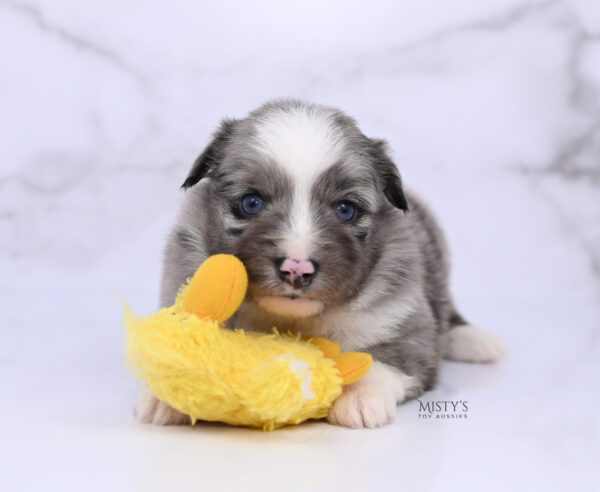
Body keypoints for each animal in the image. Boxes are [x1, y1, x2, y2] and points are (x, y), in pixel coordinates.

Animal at [134, 99, 504, 426]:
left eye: (346, 210)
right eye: (251, 203)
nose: (296, 269)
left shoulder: (405, 323)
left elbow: (381, 359)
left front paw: (360, 397)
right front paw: (169, 395)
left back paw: (474, 340)